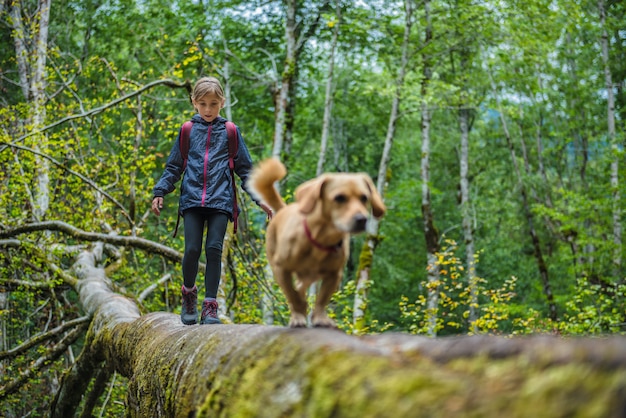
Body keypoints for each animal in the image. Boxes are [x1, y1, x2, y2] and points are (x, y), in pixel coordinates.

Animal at [245, 158, 386, 328]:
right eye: (339, 198)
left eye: (364, 198)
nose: (361, 219)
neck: (320, 239)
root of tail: (283, 209)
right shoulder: (282, 270)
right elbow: (292, 296)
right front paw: (298, 316)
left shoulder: (334, 274)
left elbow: (322, 299)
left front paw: (319, 317)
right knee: (297, 291)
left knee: (302, 288)